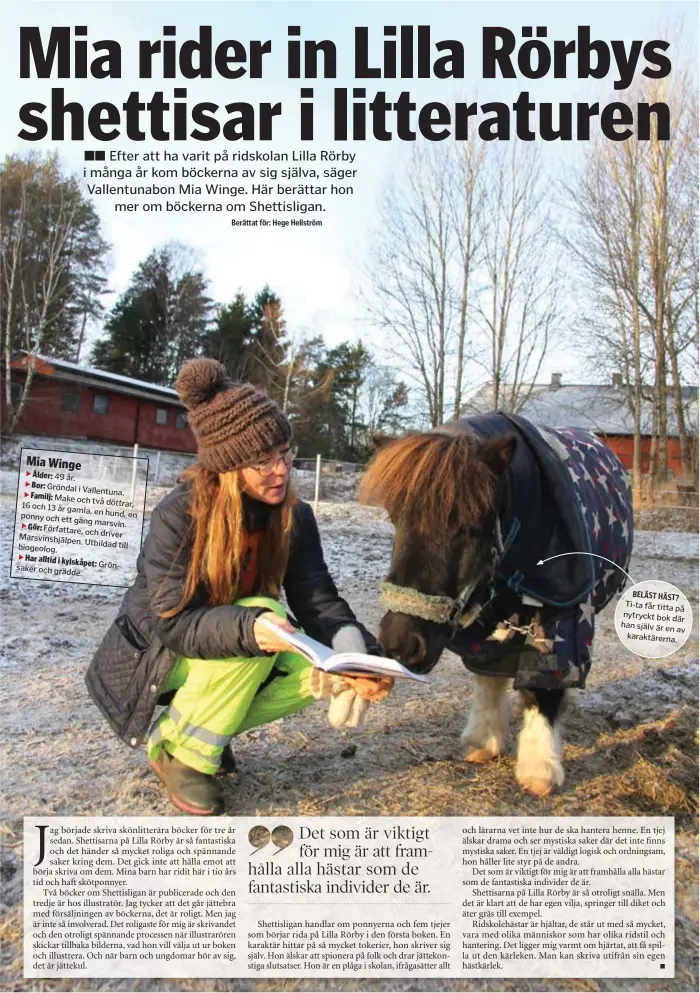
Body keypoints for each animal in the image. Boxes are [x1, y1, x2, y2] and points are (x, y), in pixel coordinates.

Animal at [360, 412, 636, 800]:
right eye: (395, 519)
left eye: (470, 524)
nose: (399, 643)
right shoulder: (482, 622)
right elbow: (488, 677)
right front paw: (484, 741)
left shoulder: (564, 616)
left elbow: (543, 683)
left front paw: (539, 768)